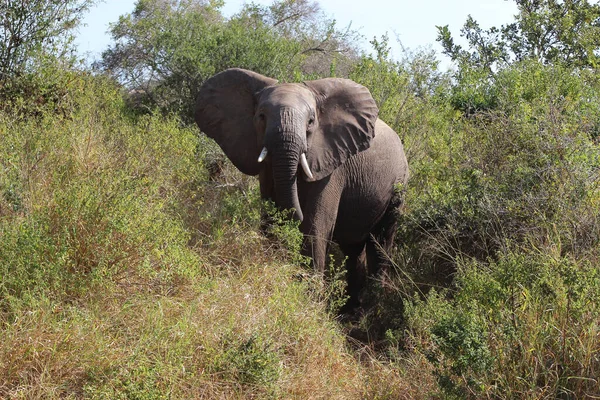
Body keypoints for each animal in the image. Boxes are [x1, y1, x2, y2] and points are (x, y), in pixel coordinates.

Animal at [195, 69, 410, 310]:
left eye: (311, 121)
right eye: (261, 116)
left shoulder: (332, 165)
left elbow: (316, 225)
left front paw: (311, 301)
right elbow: (269, 219)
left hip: (398, 186)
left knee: (381, 242)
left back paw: (370, 308)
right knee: (353, 249)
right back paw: (350, 309)